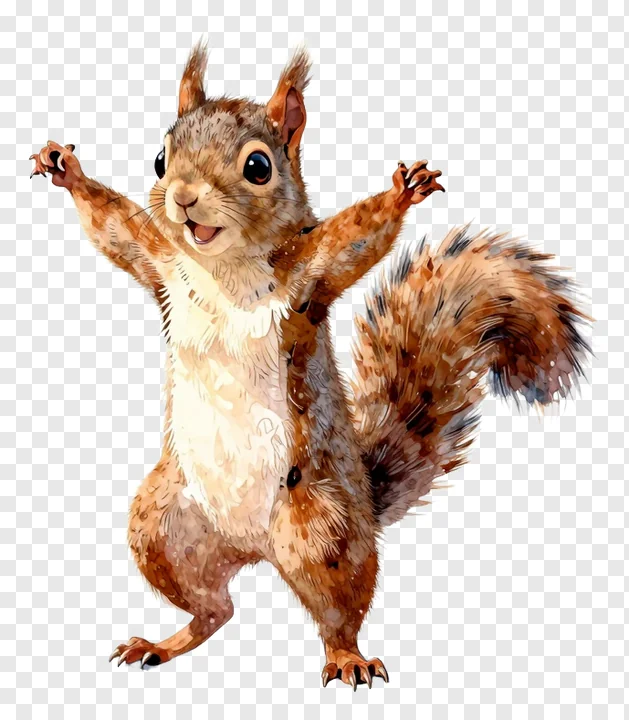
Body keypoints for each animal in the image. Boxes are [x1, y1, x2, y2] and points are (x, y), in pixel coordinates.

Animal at [30, 43, 590, 689]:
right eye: (160, 159)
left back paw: (347, 658)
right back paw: (165, 642)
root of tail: (251, 547)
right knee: (215, 608)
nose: (184, 196)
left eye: (258, 166)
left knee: (333, 611)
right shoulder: (159, 260)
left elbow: (358, 234)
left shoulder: (311, 270)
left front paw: (403, 191)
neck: (224, 266)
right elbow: (116, 226)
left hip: (322, 528)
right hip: (162, 527)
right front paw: (65, 169)